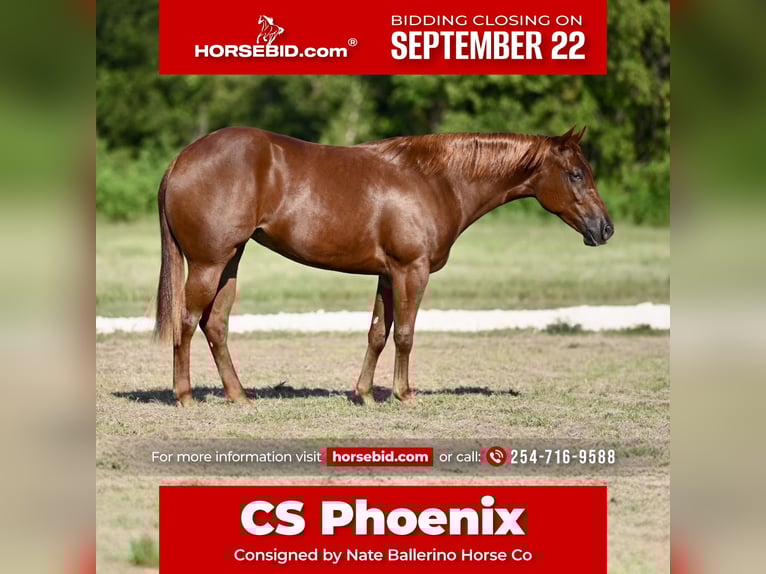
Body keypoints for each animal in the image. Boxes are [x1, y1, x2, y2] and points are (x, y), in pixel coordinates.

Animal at [154, 126, 614, 407]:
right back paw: (185, 396)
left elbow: (378, 333)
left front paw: (364, 394)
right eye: (576, 173)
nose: (605, 228)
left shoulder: (388, 275)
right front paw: (404, 394)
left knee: (216, 326)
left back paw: (239, 396)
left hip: (229, 263)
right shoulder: (412, 271)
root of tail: (180, 159)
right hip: (209, 264)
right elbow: (406, 335)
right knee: (188, 322)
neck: (435, 180)